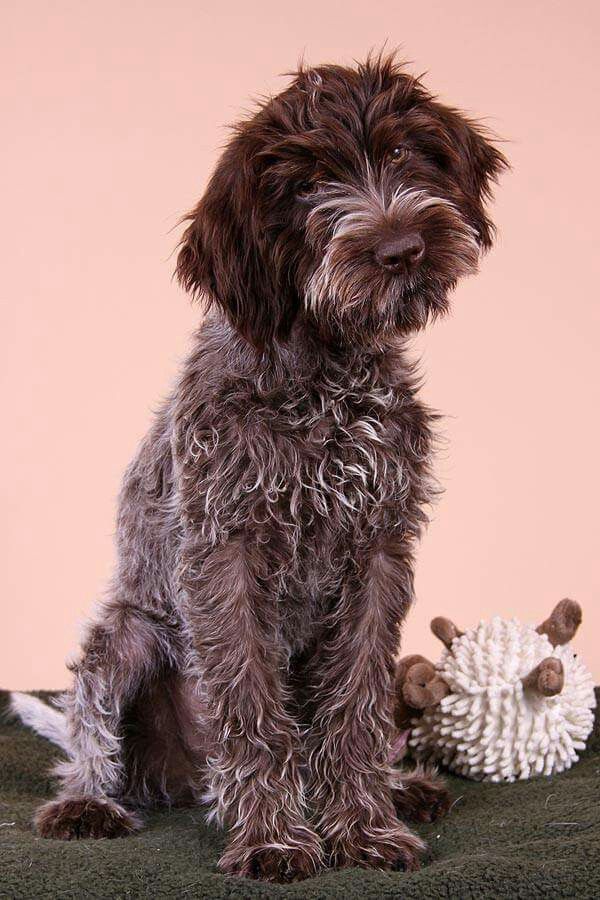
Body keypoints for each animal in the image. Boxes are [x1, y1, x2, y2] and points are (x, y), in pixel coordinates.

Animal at [10, 54, 506, 880]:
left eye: (404, 153)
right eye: (304, 189)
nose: (402, 248)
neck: (325, 380)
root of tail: (181, 780)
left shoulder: (379, 552)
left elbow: (358, 703)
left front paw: (364, 827)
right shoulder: (225, 555)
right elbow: (249, 708)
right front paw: (273, 837)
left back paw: (400, 786)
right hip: (127, 634)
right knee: (90, 732)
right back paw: (88, 802)